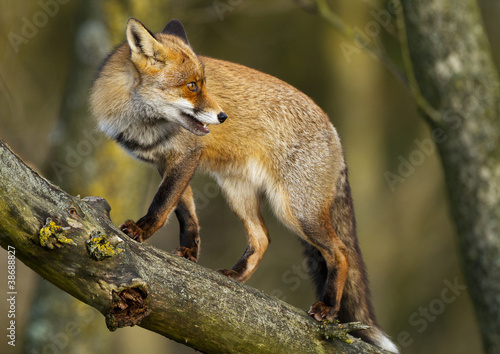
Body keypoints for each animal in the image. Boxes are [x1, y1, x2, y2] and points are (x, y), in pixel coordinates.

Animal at [91, 18, 398, 352]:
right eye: (192, 86)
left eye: (203, 84)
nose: (223, 116)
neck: (140, 123)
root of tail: (333, 130)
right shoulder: (168, 163)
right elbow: (186, 214)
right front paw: (189, 253)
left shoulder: (186, 156)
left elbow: (162, 206)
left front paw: (141, 231)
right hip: (238, 193)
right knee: (262, 238)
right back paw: (235, 276)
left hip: (294, 211)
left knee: (339, 252)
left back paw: (328, 308)